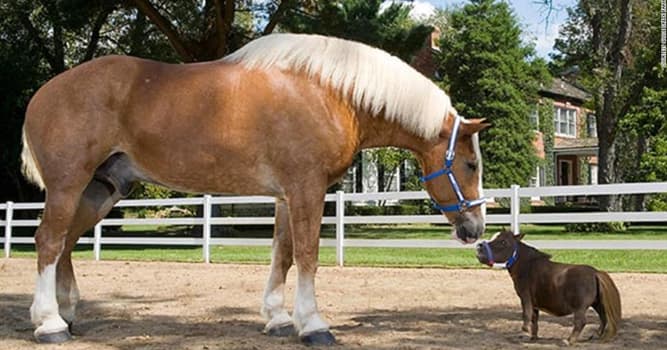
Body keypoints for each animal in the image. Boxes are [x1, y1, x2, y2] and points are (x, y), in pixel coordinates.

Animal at [20, 32, 490, 344]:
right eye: (470, 164)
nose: (475, 229)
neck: (332, 94)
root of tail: (44, 93)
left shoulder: (286, 195)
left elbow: (282, 254)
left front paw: (279, 319)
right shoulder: (306, 188)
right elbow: (307, 255)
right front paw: (313, 324)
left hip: (103, 189)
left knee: (67, 241)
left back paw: (66, 312)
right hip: (68, 185)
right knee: (49, 240)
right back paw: (49, 324)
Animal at [478, 230, 624, 344]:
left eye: (503, 242)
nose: (479, 248)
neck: (527, 266)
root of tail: (595, 272)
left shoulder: (525, 297)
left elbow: (526, 314)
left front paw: (524, 332)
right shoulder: (535, 303)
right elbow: (534, 319)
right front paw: (533, 337)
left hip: (580, 307)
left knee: (581, 321)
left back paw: (569, 340)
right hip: (597, 303)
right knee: (603, 317)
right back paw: (595, 336)